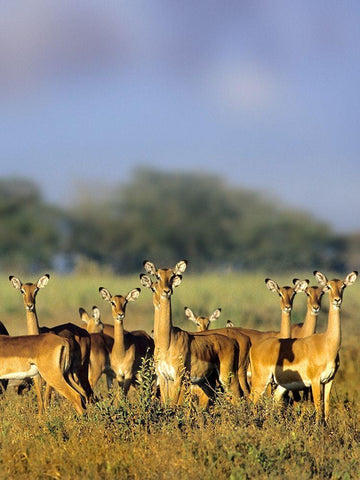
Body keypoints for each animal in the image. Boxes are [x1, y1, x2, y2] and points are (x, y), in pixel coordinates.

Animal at [9, 274, 93, 408]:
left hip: (81, 368)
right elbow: (40, 400)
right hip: (70, 373)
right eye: (22, 290)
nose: (29, 305)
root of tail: (84, 332)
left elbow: (46, 399)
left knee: (88, 391)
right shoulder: (36, 376)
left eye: (36, 290)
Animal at [140, 260, 242, 406]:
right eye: (157, 277)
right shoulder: (164, 377)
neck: (167, 342)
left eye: (172, 275)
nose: (167, 291)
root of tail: (234, 342)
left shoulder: (178, 378)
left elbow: (174, 405)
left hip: (227, 377)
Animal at [250, 270, 358, 424]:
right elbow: (318, 408)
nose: (337, 300)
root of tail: (256, 347)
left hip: (280, 385)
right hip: (261, 381)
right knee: (251, 401)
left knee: (273, 402)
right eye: (329, 286)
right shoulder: (315, 381)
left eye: (343, 286)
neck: (327, 343)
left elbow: (326, 408)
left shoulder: (329, 380)